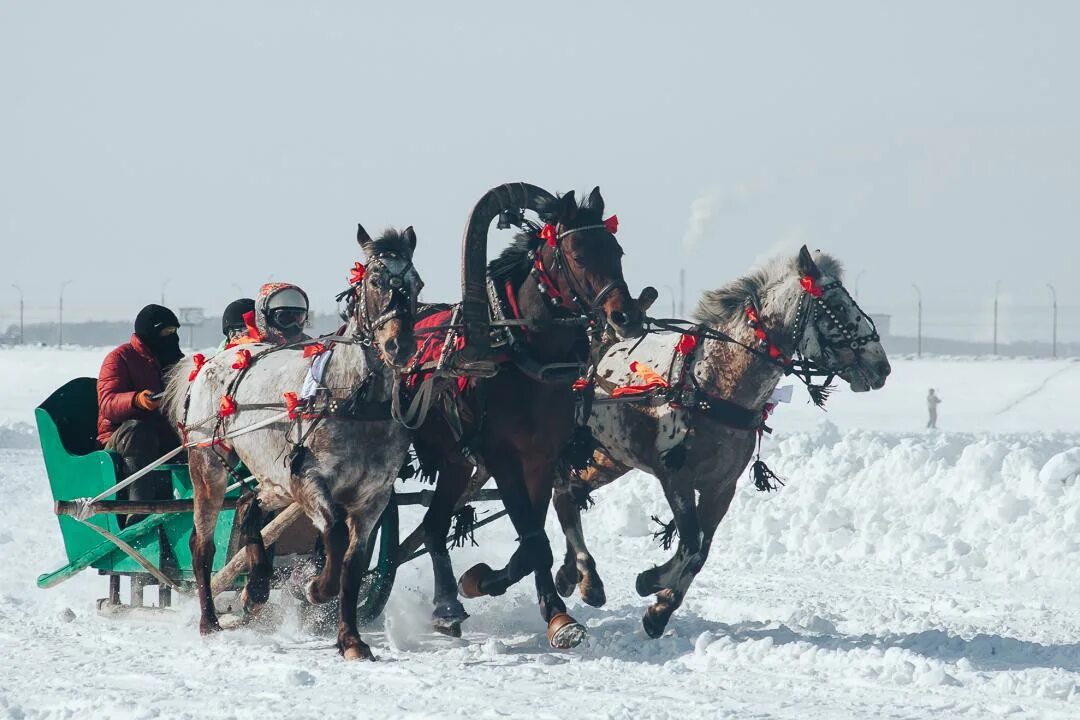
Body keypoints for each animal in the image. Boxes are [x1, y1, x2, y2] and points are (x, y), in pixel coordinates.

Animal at [164, 225, 421, 660]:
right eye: (375, 281)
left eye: (417, 285)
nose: (399, 347)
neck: (354, 400)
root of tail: (208, 362)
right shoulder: (308, 481)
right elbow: (334, 534)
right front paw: (316, 588)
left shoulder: (373, 499)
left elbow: (353, 564)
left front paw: (350, 639)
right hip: (210, 465)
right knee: (203, 544)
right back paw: (210, 621)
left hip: (274, 478)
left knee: (249, 505)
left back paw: (256, 587)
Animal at [406, 185, 639, 647]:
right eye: (579, 254)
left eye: (617, 251)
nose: (627, 316)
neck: (523, 356)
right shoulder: (503, 459)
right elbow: (535, 543)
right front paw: (554, 610)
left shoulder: (541, 460)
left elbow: (533, 540)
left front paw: (501, 587)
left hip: (456, 462)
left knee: (434, 525)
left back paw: (447, 605)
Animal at [552, 246, 889, 634]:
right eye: (835, 307)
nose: (882, 367)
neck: (711, 384)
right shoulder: (676, 477)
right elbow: (690, 541)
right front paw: (653, 584)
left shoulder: (721, 487)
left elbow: (700, 552)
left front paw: (660, 604)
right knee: (563, 494)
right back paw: (585, 575)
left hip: (608, 457)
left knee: (569, 494)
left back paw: (576, 576)